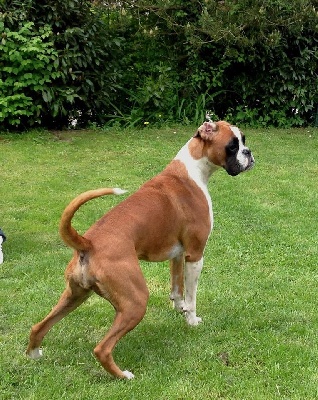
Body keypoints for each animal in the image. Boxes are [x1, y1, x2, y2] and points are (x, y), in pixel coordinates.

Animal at [26, 119, 256, 378]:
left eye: (243, 140)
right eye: (232, 146)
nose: (249, 153)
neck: (191, 171)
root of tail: (87, 242)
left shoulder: (177, 255)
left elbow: (177, 288)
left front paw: (179, 308)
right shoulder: (195, 255)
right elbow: (191, 295)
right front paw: (192, 320)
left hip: (75, 295)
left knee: (38, 327)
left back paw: (35, 354)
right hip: (135, 302)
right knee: (102, 348)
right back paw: (123, 375)